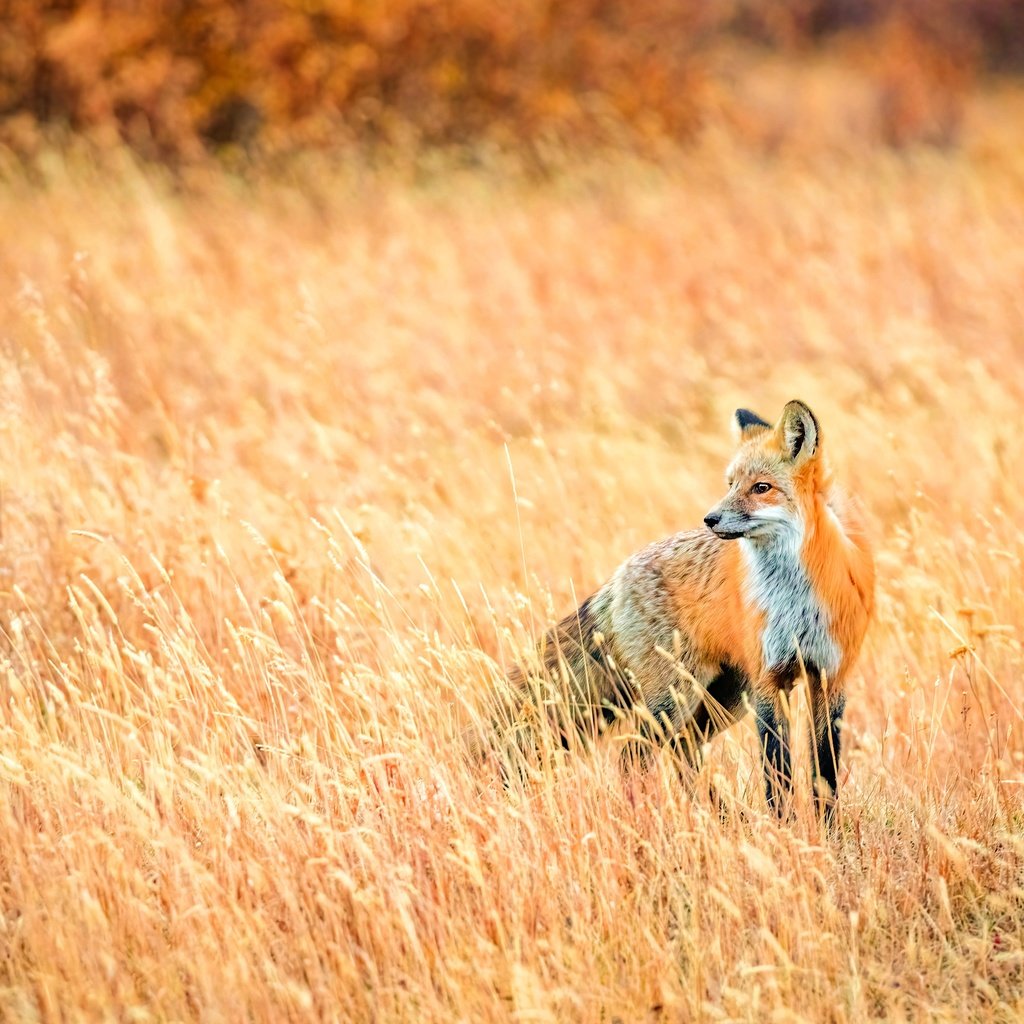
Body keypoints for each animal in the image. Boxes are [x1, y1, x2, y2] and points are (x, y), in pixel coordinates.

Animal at [495, 395, 872, 819]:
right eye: (730, 484)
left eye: (762, 488)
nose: (710, 518)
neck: (796, 601)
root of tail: (618, 576)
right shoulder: (767, 681)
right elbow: (777, 773)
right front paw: (784, 831)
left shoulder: (830, 678)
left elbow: (825, 775)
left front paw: (826, 834)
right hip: (678, 697)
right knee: (633, 755)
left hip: (724, 697)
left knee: (683, 747)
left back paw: (723, 818)